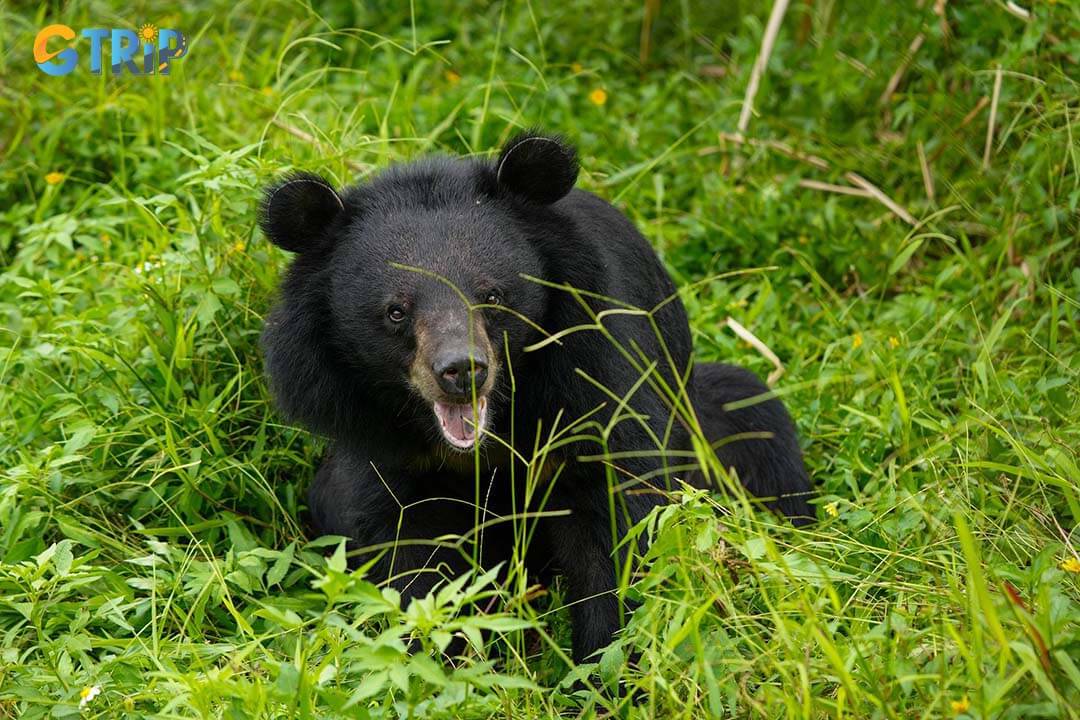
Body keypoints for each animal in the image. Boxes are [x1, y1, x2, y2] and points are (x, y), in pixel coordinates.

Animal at [261, 129, 812, 664]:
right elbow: (411, 551)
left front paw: (604, 671)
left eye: (492, 296)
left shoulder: (597, 384)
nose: (463, 371)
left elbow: (616, 529)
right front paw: (439, 661)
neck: (496, 430)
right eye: (396, 311)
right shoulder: (385, 447)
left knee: (762, 431)